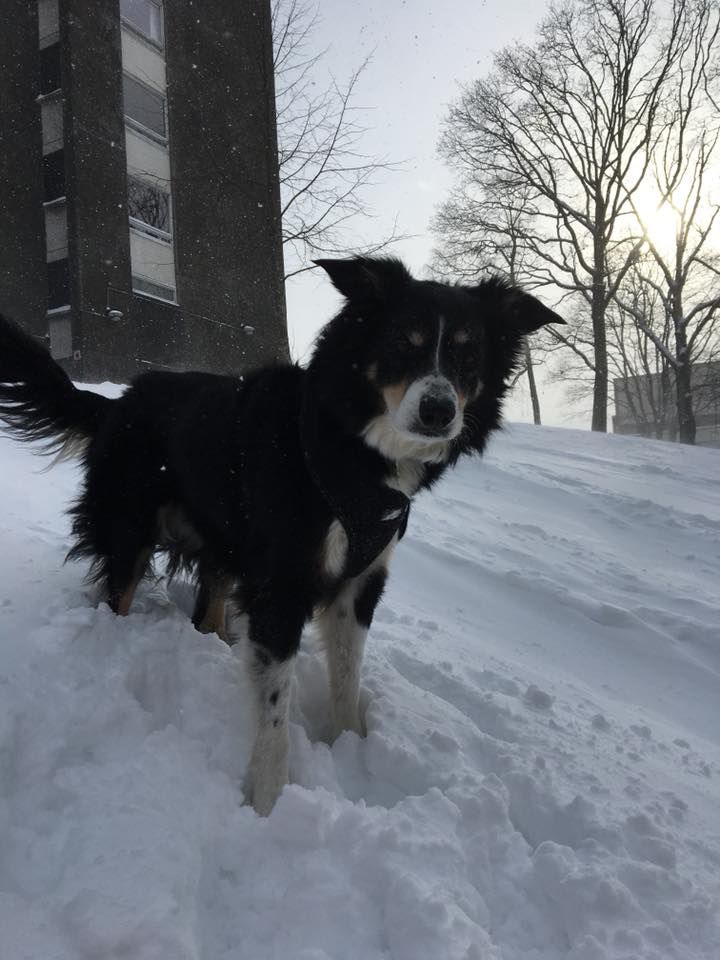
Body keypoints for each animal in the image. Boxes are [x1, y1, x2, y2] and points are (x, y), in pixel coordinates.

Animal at [0, 258, 564, 812]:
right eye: (404, 341)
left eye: (470, 356)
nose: (439, 411)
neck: (351, 451)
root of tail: (119, 400)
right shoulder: (284, 582)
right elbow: (275, 710)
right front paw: (270, 801)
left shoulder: (360, 583)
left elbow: (347, 678)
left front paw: (350, 749)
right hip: (130, 526)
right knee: (117, 592)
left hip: (224, 541)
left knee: (208, 610)